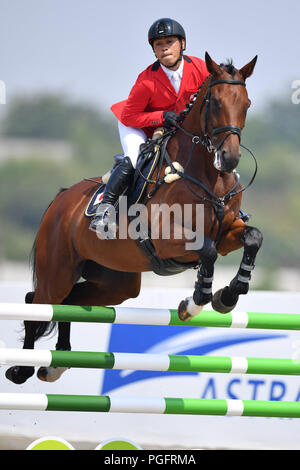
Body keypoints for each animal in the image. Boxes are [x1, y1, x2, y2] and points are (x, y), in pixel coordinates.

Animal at [5, 53, 262, 384]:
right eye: (215, 103)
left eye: (247, 104)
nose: (229, 159)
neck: (206, 175)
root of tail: (61, 199)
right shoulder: (167, 239)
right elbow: (206, 251)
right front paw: (193, 304)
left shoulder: (227, 233)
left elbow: (253, 237)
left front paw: (228, 296)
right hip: (57, 272)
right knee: (38, 302)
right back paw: (22, 368)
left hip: (116, 283)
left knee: (69, 301)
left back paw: (56, 364)